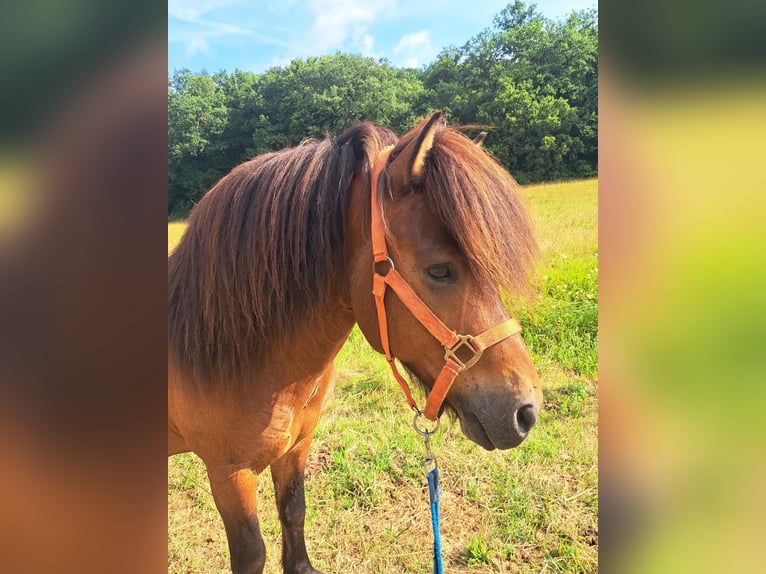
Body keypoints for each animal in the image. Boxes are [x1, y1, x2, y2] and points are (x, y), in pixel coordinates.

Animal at [168, 111, 543, 574]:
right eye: (439, 270)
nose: (526, 410)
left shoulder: (296, 447)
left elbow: (293, 512)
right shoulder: (228, 474)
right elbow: (251, 553)